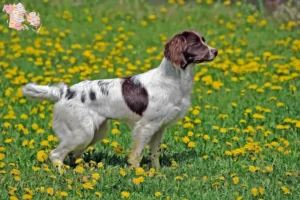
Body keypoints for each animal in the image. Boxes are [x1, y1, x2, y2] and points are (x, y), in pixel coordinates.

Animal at [21, 29, 218, 170]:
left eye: (204, 40)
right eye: (195, 43)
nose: (215, 51)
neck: (173, 79)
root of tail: (64, 92)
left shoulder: (159, 128)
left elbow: (154, 154)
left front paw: (157, 173)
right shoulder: (145, 126)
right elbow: (137, 154)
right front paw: (137, 173)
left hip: (96, 131)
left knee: (74, 155)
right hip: (82, 132)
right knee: (56, 154)